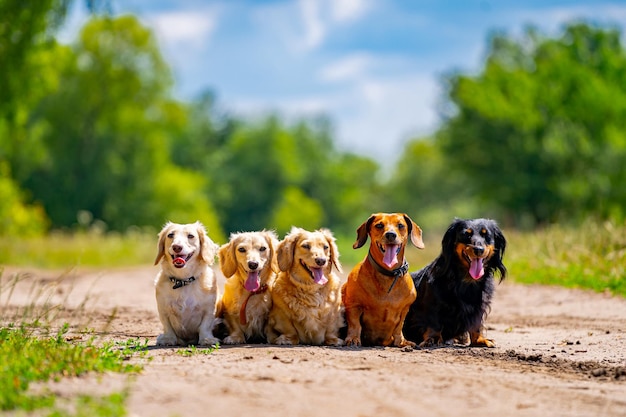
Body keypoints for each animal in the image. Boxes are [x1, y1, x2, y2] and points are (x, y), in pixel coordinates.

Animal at [342, 213, 424, 346]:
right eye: (379, 225)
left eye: (400, 225)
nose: (390, 235)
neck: (389, 274)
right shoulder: (354, 305)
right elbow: (355, 324)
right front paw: (353, 338)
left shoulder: (404, 309)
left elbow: (399, 326)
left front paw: (401, 341)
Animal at [402, 218, 504, 348]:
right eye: (466, 234)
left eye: (486, 235)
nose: (479, 250)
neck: (468, 281)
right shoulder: (432, 304)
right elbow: (434, 322)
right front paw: (434, 339)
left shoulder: (479, 306)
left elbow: (476, 324)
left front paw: (480, 340)